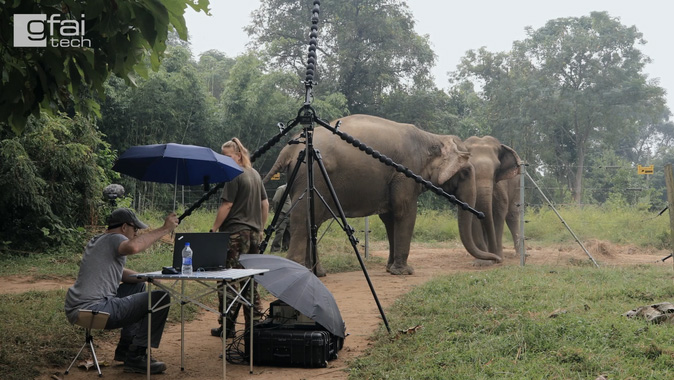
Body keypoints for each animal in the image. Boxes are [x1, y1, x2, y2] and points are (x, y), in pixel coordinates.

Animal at [260, 114, 496, 274]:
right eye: (465, 172)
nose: (496, 260)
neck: (432, 138)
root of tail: (288, 149)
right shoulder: (405, 172)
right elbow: (405, 213)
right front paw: (405, 272)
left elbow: (389, 218)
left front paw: (390, 268)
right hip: (312, 175)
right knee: (303, 220)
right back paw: (302, 270)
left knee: (312, 221)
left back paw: (319, 273)